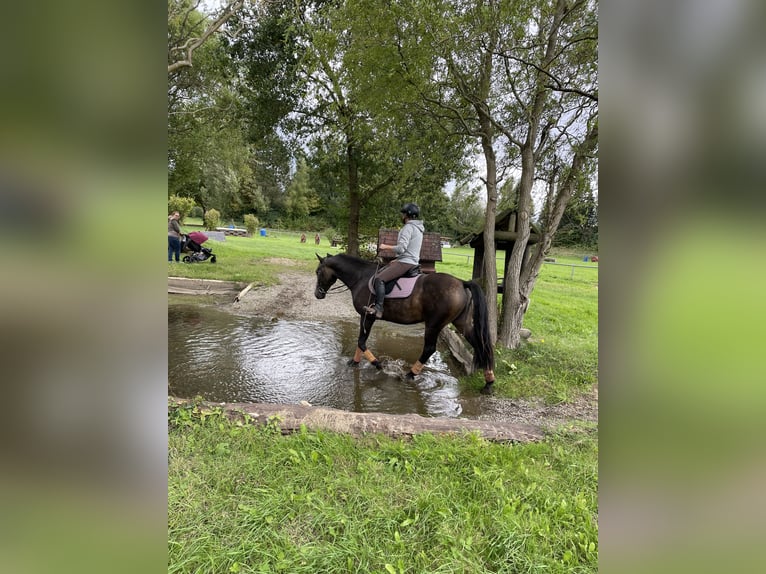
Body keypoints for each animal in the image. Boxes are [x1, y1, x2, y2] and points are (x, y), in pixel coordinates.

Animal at [313, 253, 496, 393]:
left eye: (318, 272)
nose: (317, 294)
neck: (360, 277)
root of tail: (461, 282)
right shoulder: (365, 317)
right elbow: (361, 341)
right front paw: (355, 362)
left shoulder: (368, 316)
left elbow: (361, 341)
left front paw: (378, 365)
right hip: (462, 324)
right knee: (481, 345)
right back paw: (489, 382)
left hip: (434, 324)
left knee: (429, 349)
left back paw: (410, 375)